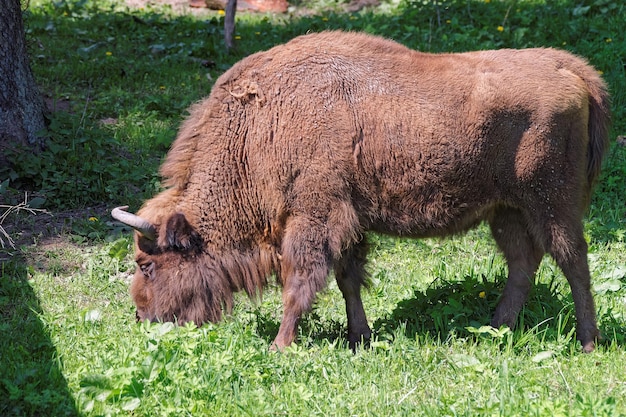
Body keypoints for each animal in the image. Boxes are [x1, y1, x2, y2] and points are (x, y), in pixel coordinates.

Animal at [112, 30, 608, 352]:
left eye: (147, 264)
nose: (140, 316)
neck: (261, 126)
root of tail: (571, 69)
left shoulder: (314, 218)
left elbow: (300, 283)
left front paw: (279, 345)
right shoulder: (347, 223)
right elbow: (347, 279)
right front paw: (359, 338)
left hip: (551, 204)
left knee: (573, 261)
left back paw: (588, 342)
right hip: (507, 210)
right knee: (524, 264)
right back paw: (495, 332)